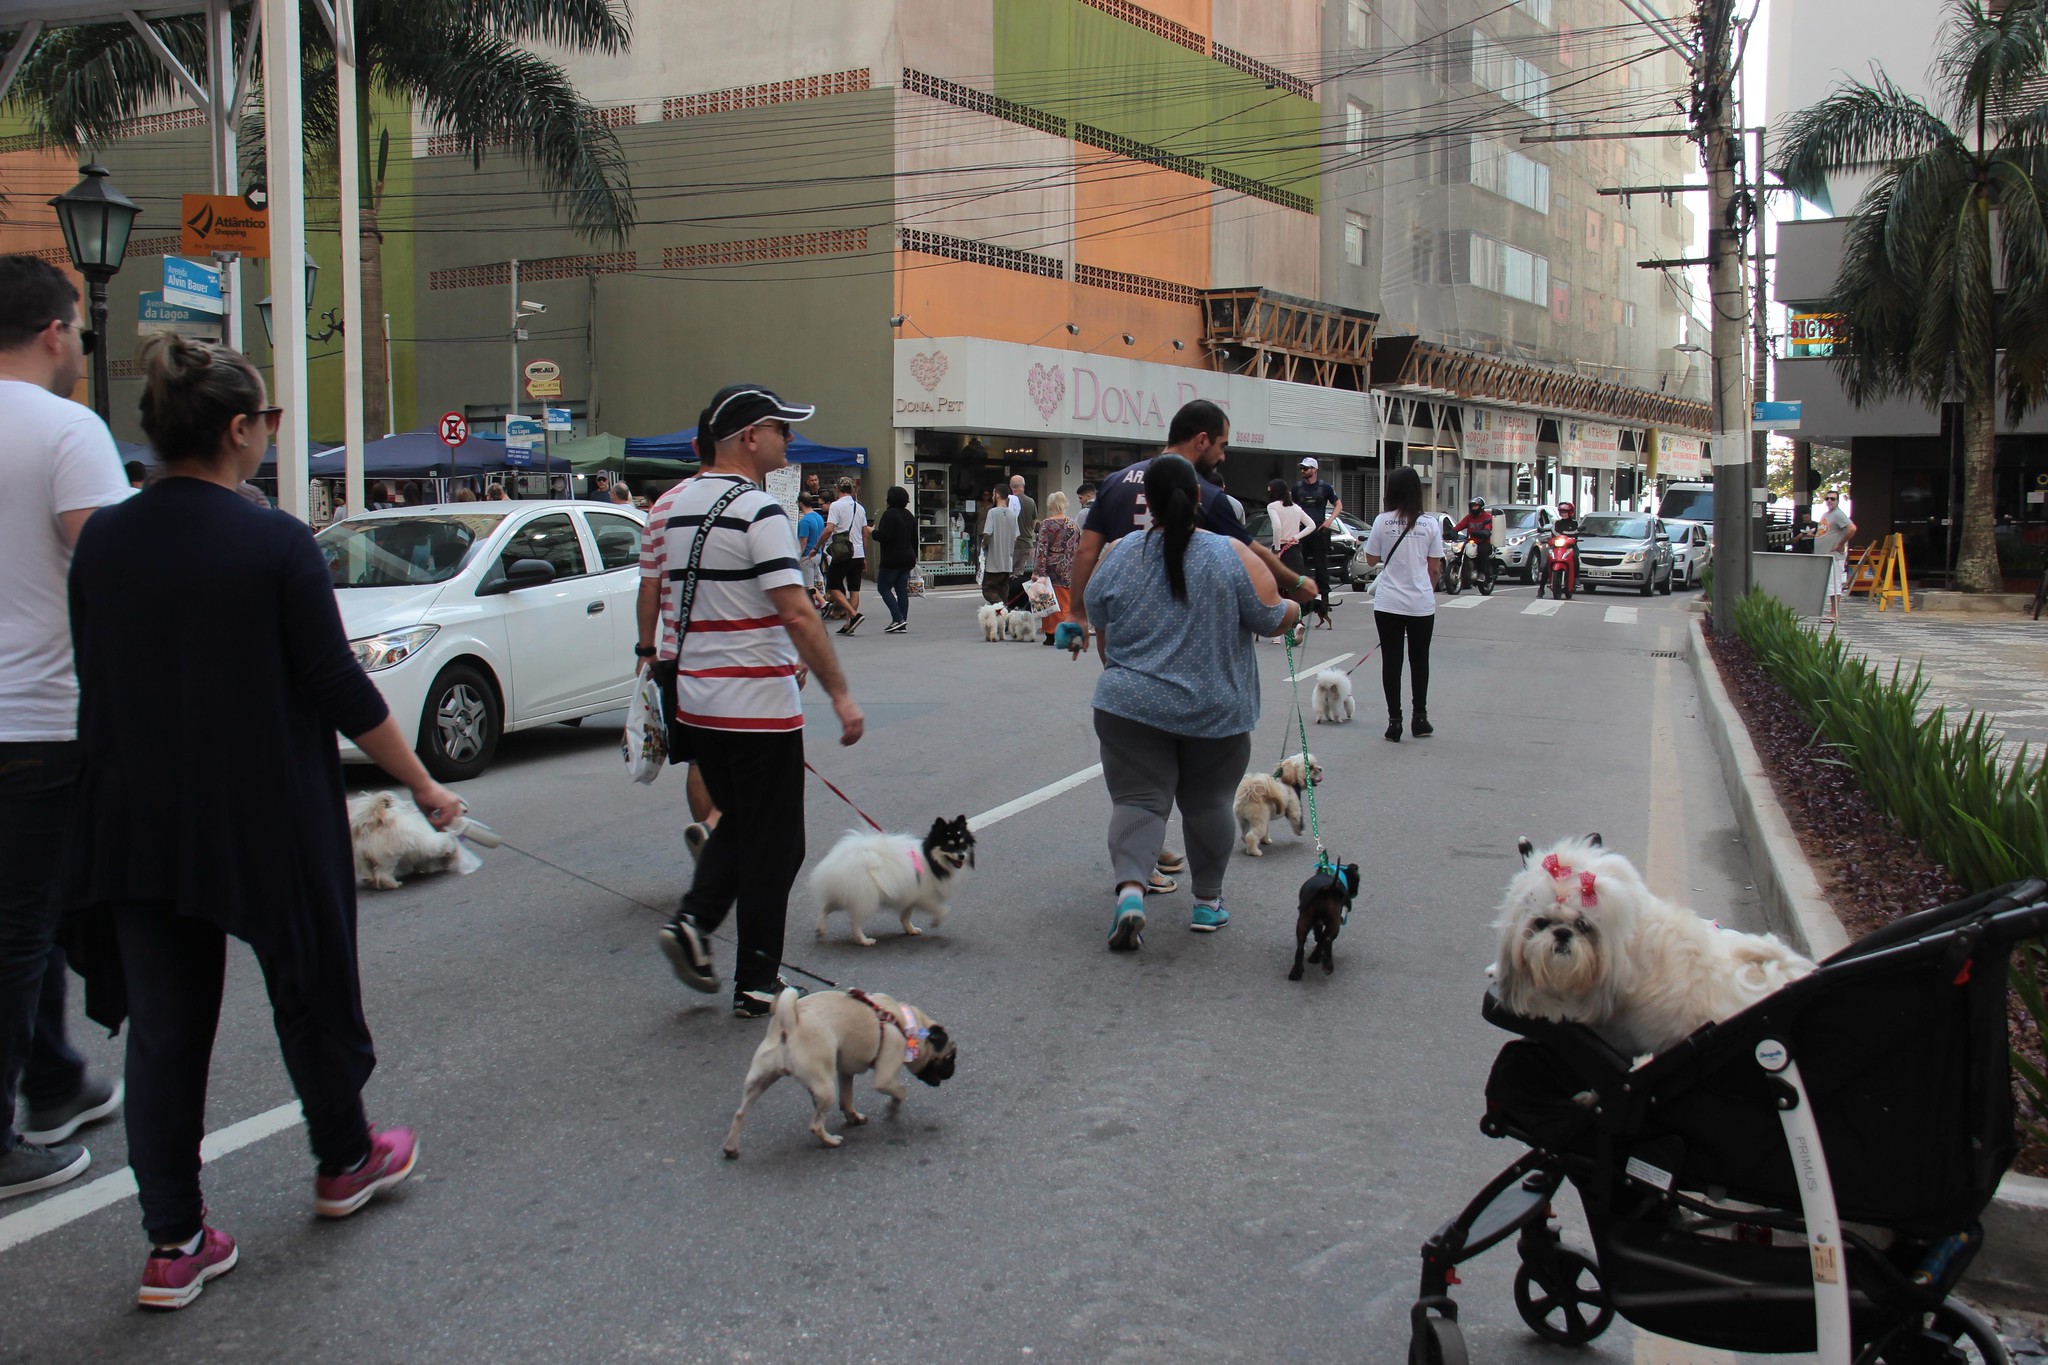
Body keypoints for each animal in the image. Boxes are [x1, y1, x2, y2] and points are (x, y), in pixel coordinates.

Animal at [724, 986, 954, 1162]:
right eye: (949, 1057)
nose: (952, 1071)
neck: (904, 1023)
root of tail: (788, 1025)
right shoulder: (885, 1077)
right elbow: (900, 1091)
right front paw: (893, 1108)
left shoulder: (845, 1071)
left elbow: (847, 1098)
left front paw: (853, 1116)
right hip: (826, 1088)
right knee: (815, 1125)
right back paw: (831, 1140)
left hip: (760, 1079)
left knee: (740, 1113)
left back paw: (731, 1148)